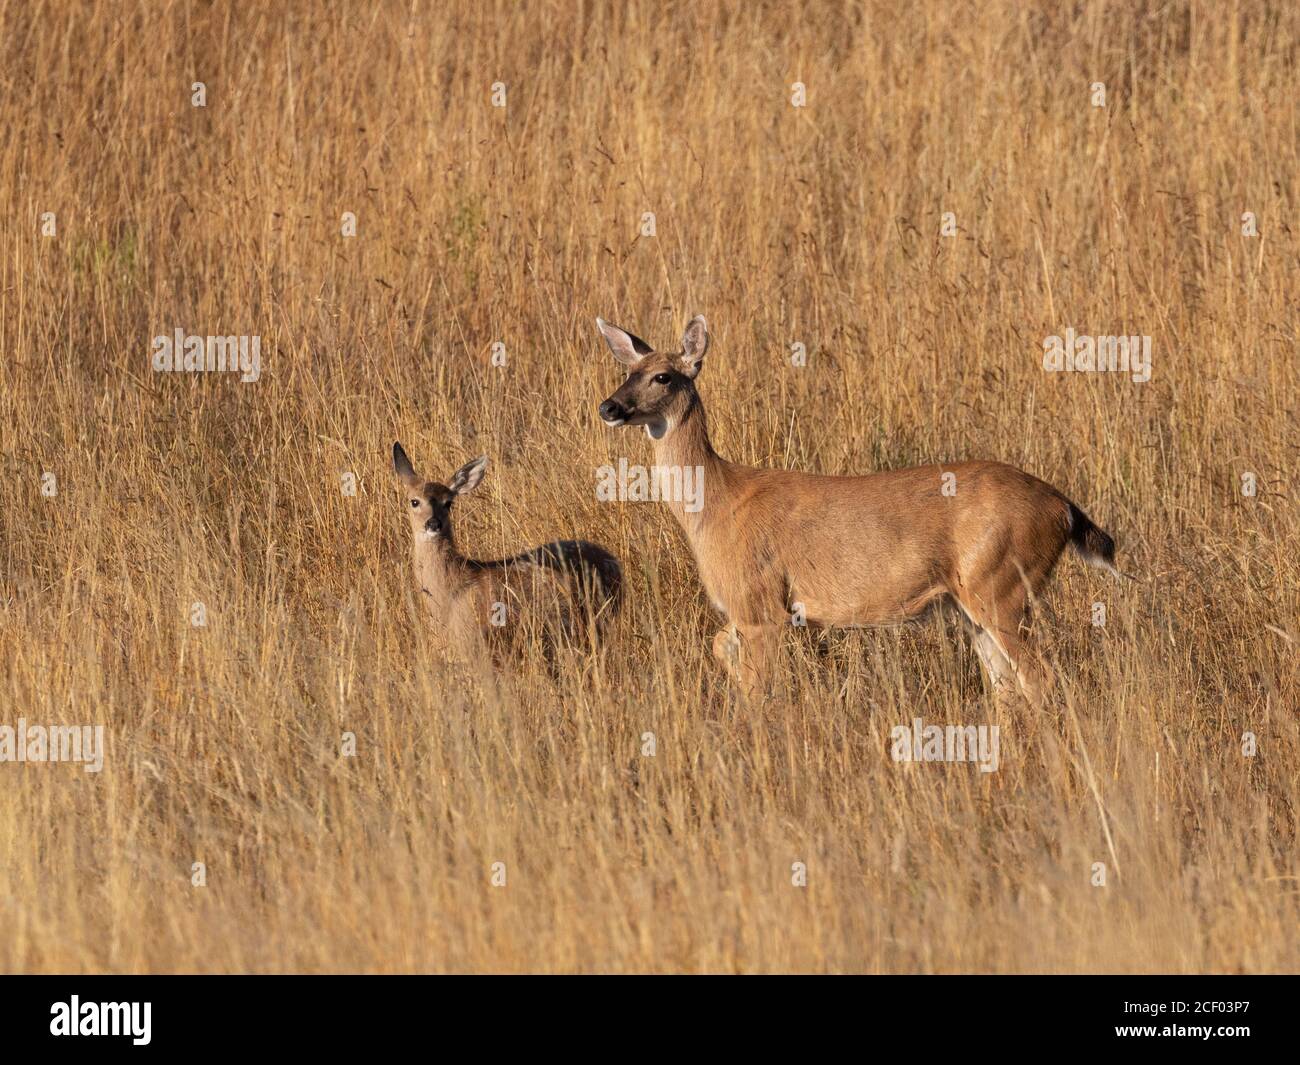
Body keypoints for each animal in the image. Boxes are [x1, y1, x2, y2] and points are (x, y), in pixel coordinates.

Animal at [595, 315, 1121, 708]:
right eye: (626, 372)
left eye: (663, 376)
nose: (609, 407)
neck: (717, 503)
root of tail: (1063, 507)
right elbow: (721, 649)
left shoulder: (761, 602)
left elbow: (755, 686)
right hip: (976, 602)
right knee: (1007, 687)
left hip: (1002, 585)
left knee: (1039, 677)